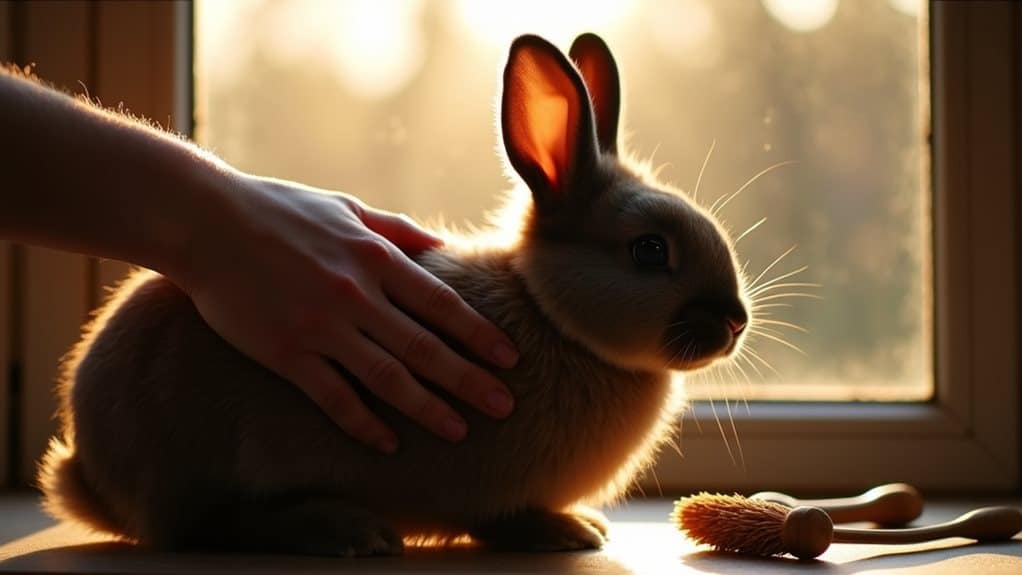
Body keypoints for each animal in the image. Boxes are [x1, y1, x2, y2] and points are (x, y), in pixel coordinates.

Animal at [37, 33, 749, 556]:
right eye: (650, 250)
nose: (735, 322)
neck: (550, 314)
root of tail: (93, 474)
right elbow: (498, 519)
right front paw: (566, 532)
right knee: (207, 530)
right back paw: (348, 531)